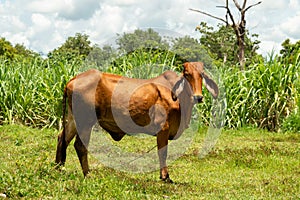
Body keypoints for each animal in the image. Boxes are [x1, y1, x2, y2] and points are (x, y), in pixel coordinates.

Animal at [55, 61, 218, 182]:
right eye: (186, 74)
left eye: (201, 75)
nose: (198, 97)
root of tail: (73, 80)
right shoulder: (163, 129)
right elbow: (163, 153)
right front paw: (165, 177)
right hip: (85, 121)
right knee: (80, 146)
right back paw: (87, 174)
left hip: (73, 120)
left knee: (62, 138)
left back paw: (58, 167)